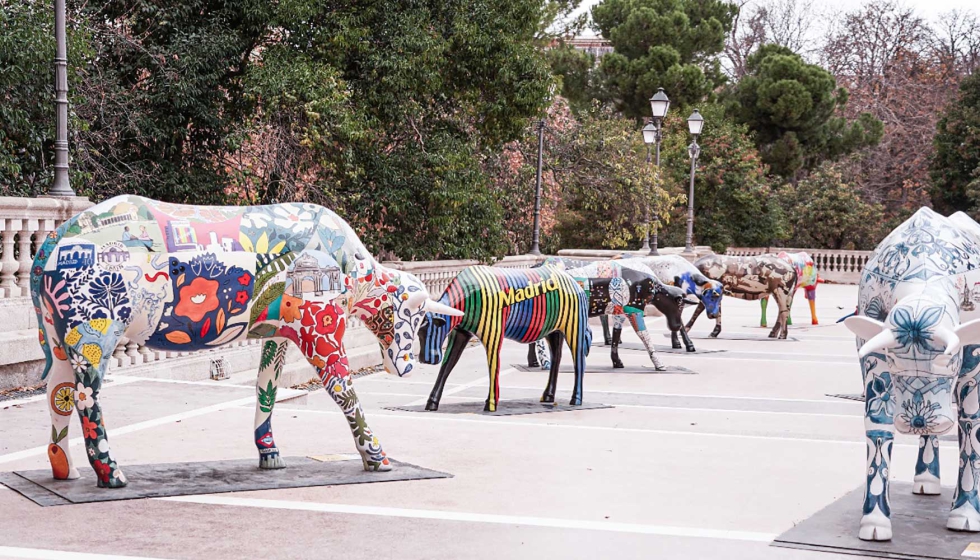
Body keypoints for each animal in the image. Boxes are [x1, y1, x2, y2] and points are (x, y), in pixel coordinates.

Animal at [31, 196, 460, 486]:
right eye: (413, 313)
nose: (407, 366)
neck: (354, 271)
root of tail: (51, 242)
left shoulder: (278, 332)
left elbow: (265, 388)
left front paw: (269, 452)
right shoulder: (319, 329)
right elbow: (342, 388)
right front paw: (376, 456)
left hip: (59, 337)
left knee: (58, 393)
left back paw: (64, 467)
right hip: (96, 332)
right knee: (86, 397)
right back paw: (110, 473)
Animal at [416, 264, 588, 414]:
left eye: (432, 329)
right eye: (418, 333)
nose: (425, 359)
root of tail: (574, 283)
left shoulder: (494, 333)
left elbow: (493, 366)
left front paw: (490, 404)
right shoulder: (461, 333)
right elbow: (447, 366)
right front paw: (432, 402)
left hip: (574, 328)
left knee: (579, 361)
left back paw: (576, 399)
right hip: (554, 331)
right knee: (556, 359)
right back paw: (548, 396)